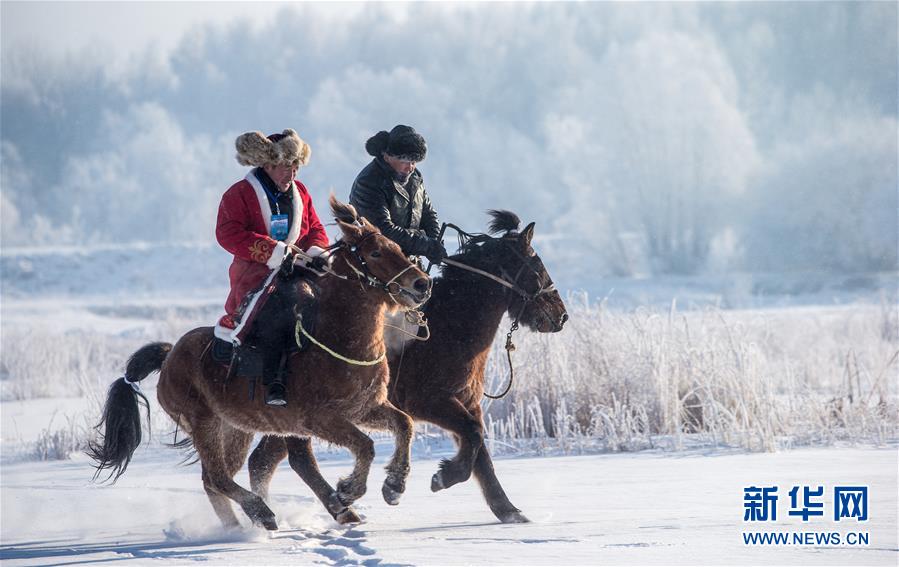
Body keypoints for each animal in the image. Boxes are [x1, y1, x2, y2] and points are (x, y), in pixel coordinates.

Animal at [89, 197, 434, 532]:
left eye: (398, 247)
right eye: (375, 252)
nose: (422, 284)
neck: (338, 341)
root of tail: (170, 355)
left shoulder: (364, 408)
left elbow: (404, 424)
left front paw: (393, 486)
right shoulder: (320, 418)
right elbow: (365, 445)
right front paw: (349, 490)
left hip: (235, 428)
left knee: (221, 477)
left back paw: (245, 523)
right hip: (203, 423)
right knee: (219, 476)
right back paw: (262, 513)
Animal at [246, 212, 568, 524]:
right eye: (536, 265)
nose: (561, 316)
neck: (449, 327)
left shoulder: (466, 403)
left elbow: (480, 452)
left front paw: (508, 511)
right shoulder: (431, 403)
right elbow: (474, 437)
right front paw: (439, 478)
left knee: (263, 460)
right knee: (296, 458)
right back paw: (338, 507)